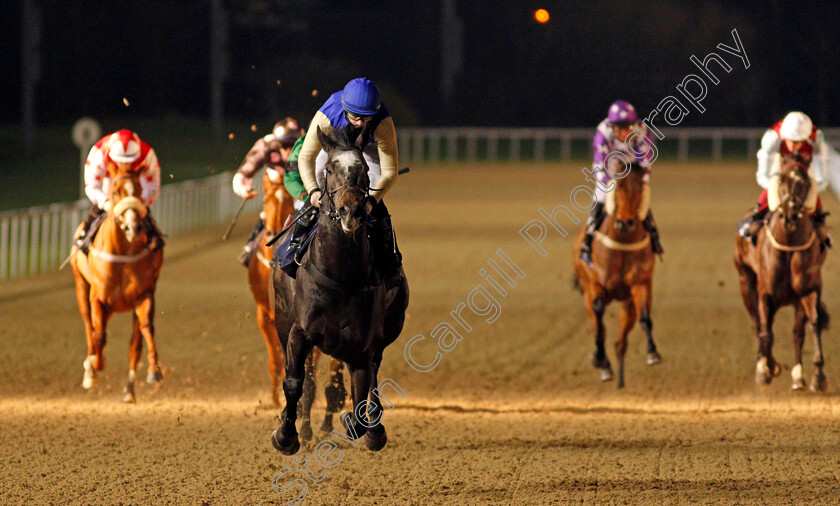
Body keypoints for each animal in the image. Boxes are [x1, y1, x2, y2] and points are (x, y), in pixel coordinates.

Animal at [72, 166, 166, 404]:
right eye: (115, 191)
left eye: (140, 189)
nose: (133, 226)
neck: (124, 253)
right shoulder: (97, 298)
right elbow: (98, 335)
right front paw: (95, 366)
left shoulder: (144, 295)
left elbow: (145, 331)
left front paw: (155, 372)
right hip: (81, 287)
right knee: (89, 327)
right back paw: (90, 368)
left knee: (134, 343)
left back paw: (129, 391)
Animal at [270, 125, 408, 454]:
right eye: (330, 169)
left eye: (365, 172)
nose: (350, 211)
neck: (340, 274)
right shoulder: (298, 331)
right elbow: (294, 382)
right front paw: (286, 435)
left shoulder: (362, 344)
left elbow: (360, 396)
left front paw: (365, 427)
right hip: (282, 321)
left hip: (387, 329)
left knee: (372, 377)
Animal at [576, 160, 660, 390]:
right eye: (619, 185)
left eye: (640, 187)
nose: (625, 223)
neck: (622, 242)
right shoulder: (596, 286)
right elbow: (598, 322)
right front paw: (599, 358)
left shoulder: (640, 284)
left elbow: (645, 318)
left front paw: (653, 352)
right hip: (587, 291)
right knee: (600, 326)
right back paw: (603, 363)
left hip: (627, 302)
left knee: (621, 341)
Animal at [732, 156, 832, 390]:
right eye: (781, 180)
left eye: (803, 182)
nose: (790, 213)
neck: (789, 245)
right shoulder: (765, 294)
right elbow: (766, 332)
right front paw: (767, 369)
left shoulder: (807, 292)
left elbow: (809, 327)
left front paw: (814, 376)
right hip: (745, 282)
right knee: (757, 325)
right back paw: (764, 364)